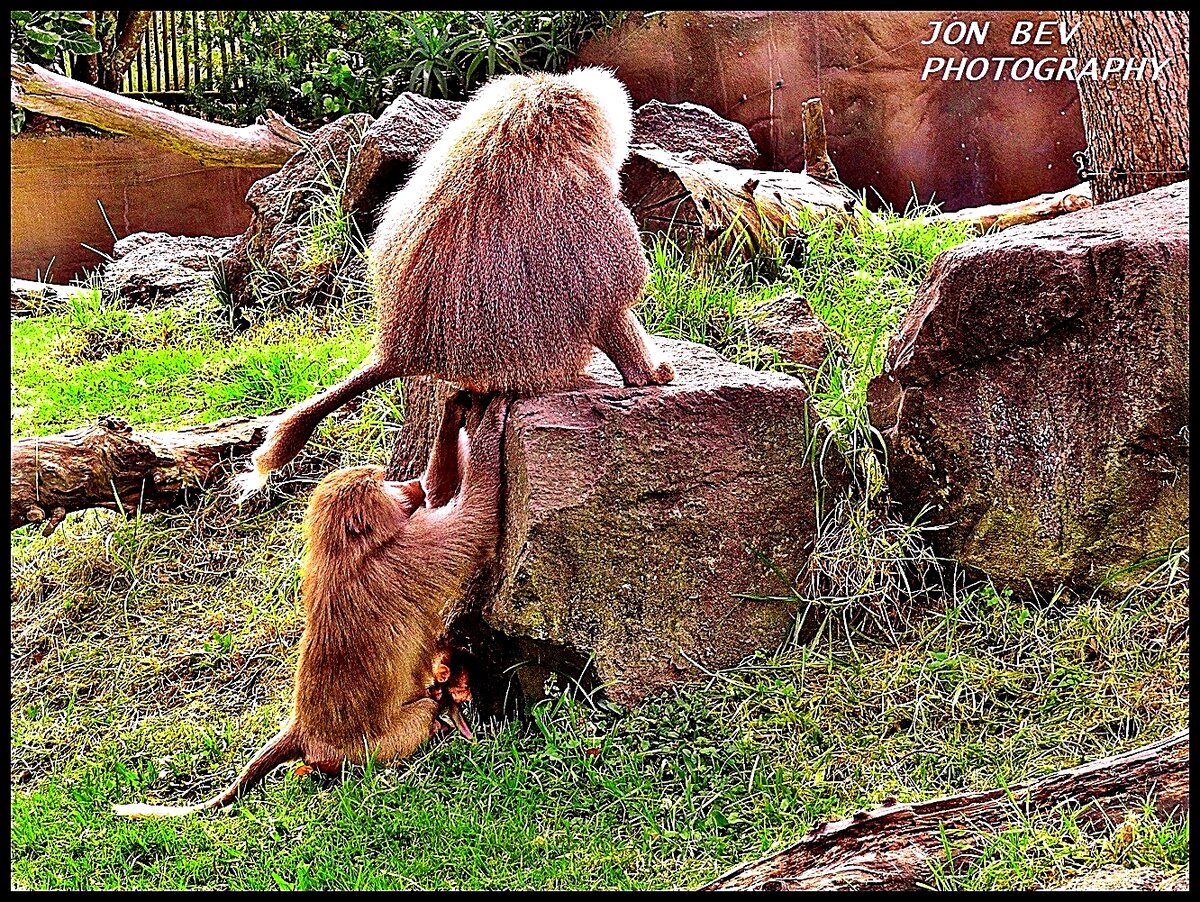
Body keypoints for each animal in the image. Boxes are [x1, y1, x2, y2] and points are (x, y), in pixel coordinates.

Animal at [114, 392, 507, 817]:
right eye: (387, 486)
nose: (408, 483)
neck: (341, 550)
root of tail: (304, 729)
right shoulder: (407, 552)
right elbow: (472, 520)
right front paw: (489, 423)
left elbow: (440, 494)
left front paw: (452, 412)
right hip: (372, 745)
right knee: (420, 716)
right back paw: (434, 726)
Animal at [237, 67, 673, 495]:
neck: (515, 138)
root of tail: (403, 350)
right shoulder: (584, 196)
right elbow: (617, 292)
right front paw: (647, 372)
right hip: (529, 365)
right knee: (602, 312)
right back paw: (639, 377)